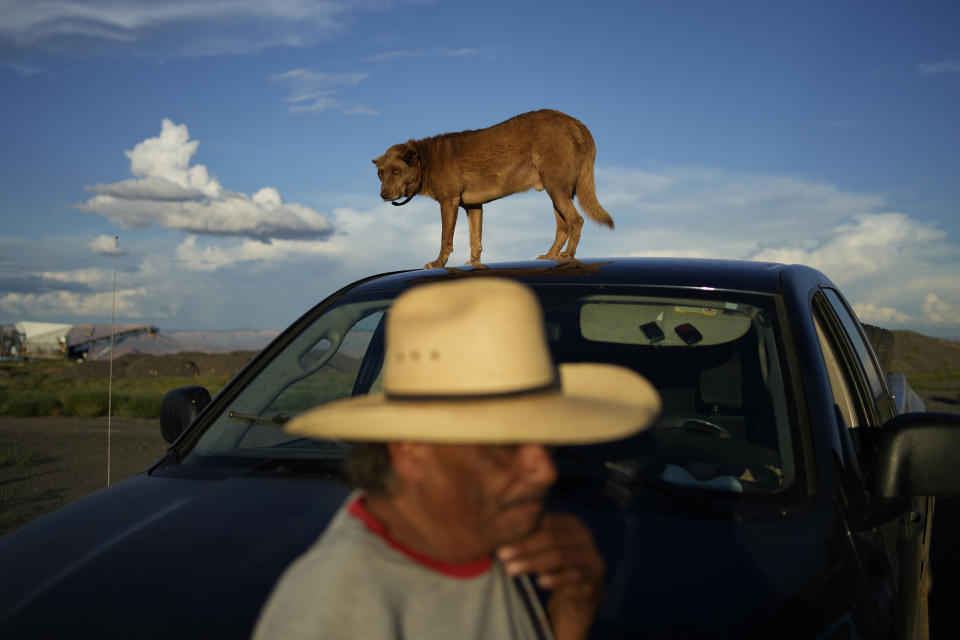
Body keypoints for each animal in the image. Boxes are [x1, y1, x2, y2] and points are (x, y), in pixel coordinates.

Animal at [372, 109, 612, 268]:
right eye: (380, 173)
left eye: (396, 171)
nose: (383, 195)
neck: (427, 160)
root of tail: (576, 123)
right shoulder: (473, 206)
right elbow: (475, 239)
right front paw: (473, 264)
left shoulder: (449, 201)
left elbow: (445, 238)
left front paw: (438, 263)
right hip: (557, 190)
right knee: (563, 227)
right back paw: (550, 256)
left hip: (556, 186)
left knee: (576, 221)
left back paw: (568, 255)